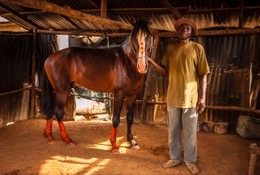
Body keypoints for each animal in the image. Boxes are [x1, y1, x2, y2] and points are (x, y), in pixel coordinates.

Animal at [39, 19, 153, 152]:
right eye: (134, 37)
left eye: (149, 36)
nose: (142, 66)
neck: (127, 61)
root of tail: (50, 58)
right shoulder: (119, 94)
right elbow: (116, 119)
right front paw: (114, 145)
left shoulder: (132, 95)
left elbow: (130, 118)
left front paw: (132, 142)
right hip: (62, 91)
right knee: (58, 112)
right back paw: (67, 139)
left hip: (56, 91)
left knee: (51, 110)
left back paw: (50, 136)